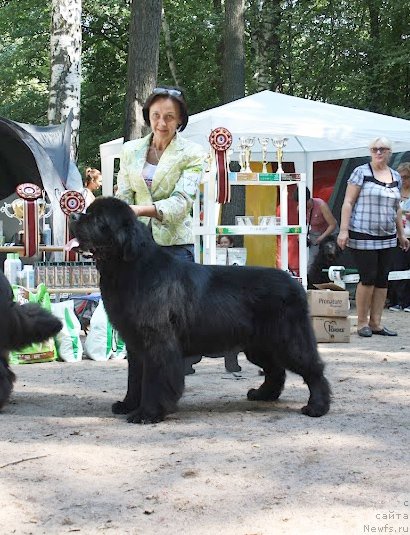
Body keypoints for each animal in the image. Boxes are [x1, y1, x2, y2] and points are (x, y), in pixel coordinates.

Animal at [69, 197, 330, 422]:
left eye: (97, 218)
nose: (72, 215)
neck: (129, 270)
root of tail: (295, 283)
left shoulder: (157, 342)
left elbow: (153, 379)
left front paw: (147, 413)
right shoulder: (135, 344)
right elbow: (135, 379)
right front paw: (128, 405)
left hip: (288, 340)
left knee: (312, 369)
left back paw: (317, 407)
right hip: (260, 344)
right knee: (275, 370)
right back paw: (263, 394)